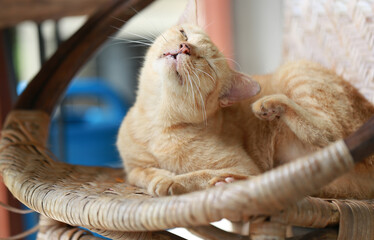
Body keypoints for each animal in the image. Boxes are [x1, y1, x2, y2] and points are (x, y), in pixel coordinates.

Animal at [115, 0, 372, 199]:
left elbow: (201, 175)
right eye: (184, 34)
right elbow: (141, 172)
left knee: (330, 136)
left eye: (206, 62)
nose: (184, 47)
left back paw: (269, 106)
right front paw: (159, 176)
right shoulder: (132, 165)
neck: (154, 123)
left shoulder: (244, 166)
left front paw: (172, 181)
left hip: (294, 72)